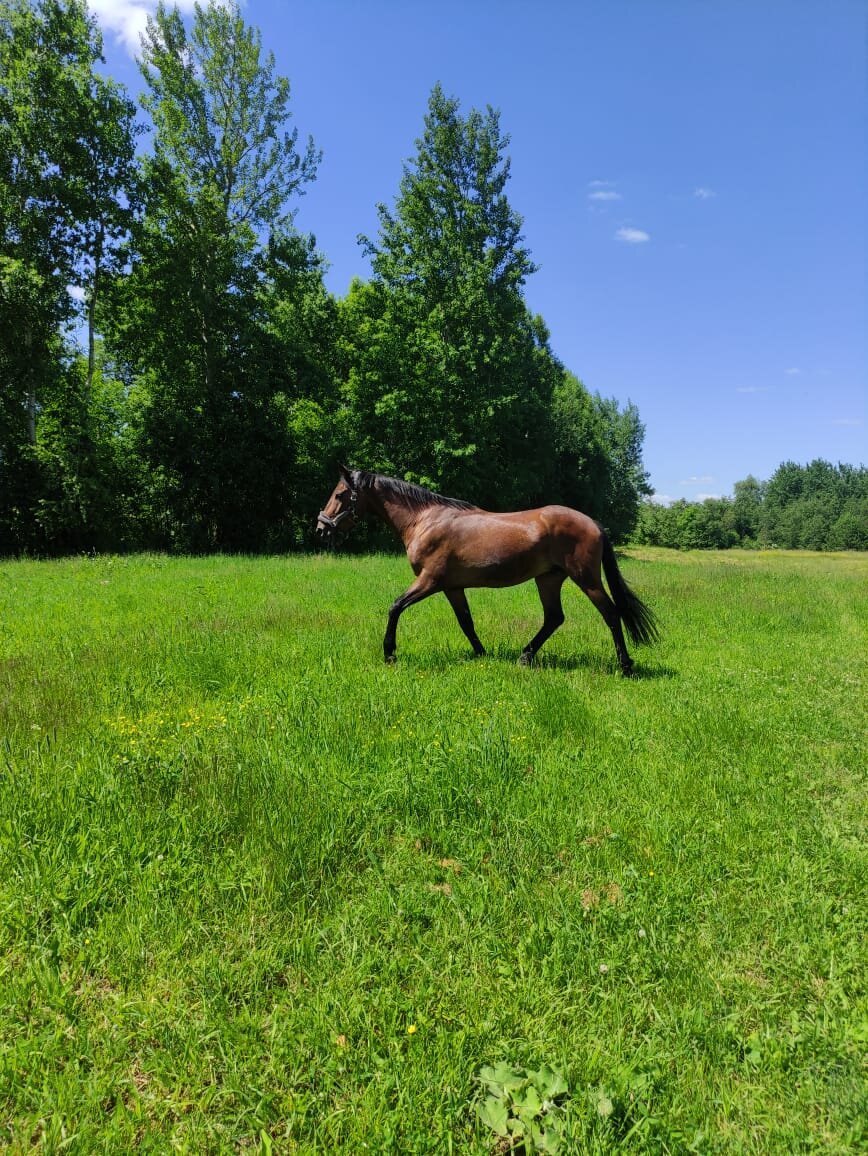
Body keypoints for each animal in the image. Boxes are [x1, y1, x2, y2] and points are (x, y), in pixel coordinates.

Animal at [316, 464, 656, 675]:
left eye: (339, 495)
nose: (321, 528)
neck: (425, 520)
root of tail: (594, 523)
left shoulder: (429, 581)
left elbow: (395, 607)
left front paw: (390, 653)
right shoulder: (452, 587)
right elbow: (466, 622)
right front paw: (481, 654)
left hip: (586, 579)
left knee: (611, 614)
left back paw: (626, 666)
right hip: (548, 579)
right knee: (554, 618)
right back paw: (525, 656)